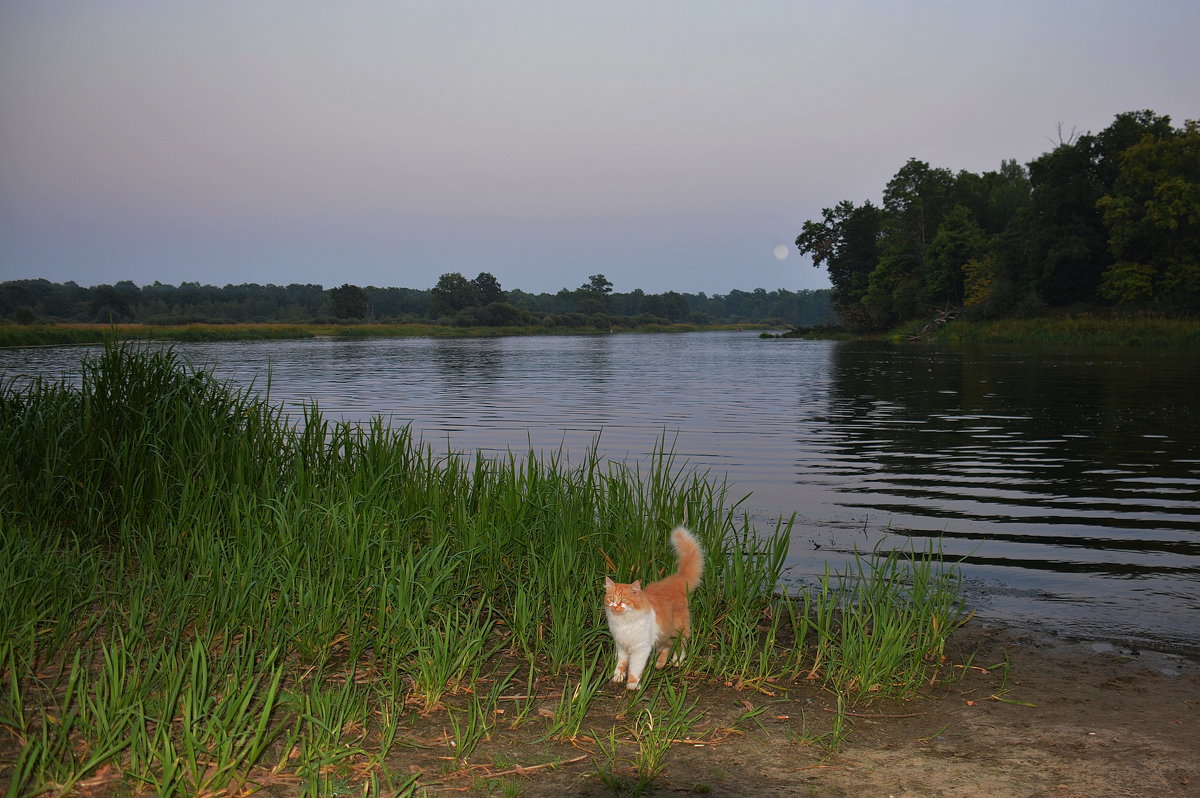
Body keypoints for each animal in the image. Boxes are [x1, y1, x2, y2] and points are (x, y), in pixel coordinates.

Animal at [604, 525, 700, 686]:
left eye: (624, 600)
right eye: (611, 599)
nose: (615, 606)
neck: (624, 622)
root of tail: (675, 580)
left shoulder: (641, 648)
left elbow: (635, 668)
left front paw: (632, 685)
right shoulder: (622, 647)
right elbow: (621, 664)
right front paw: (617, 677)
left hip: (678, 630)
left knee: (681, 645)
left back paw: (677, 662)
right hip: (663, 633)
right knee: (666, 647)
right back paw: (660, 664)